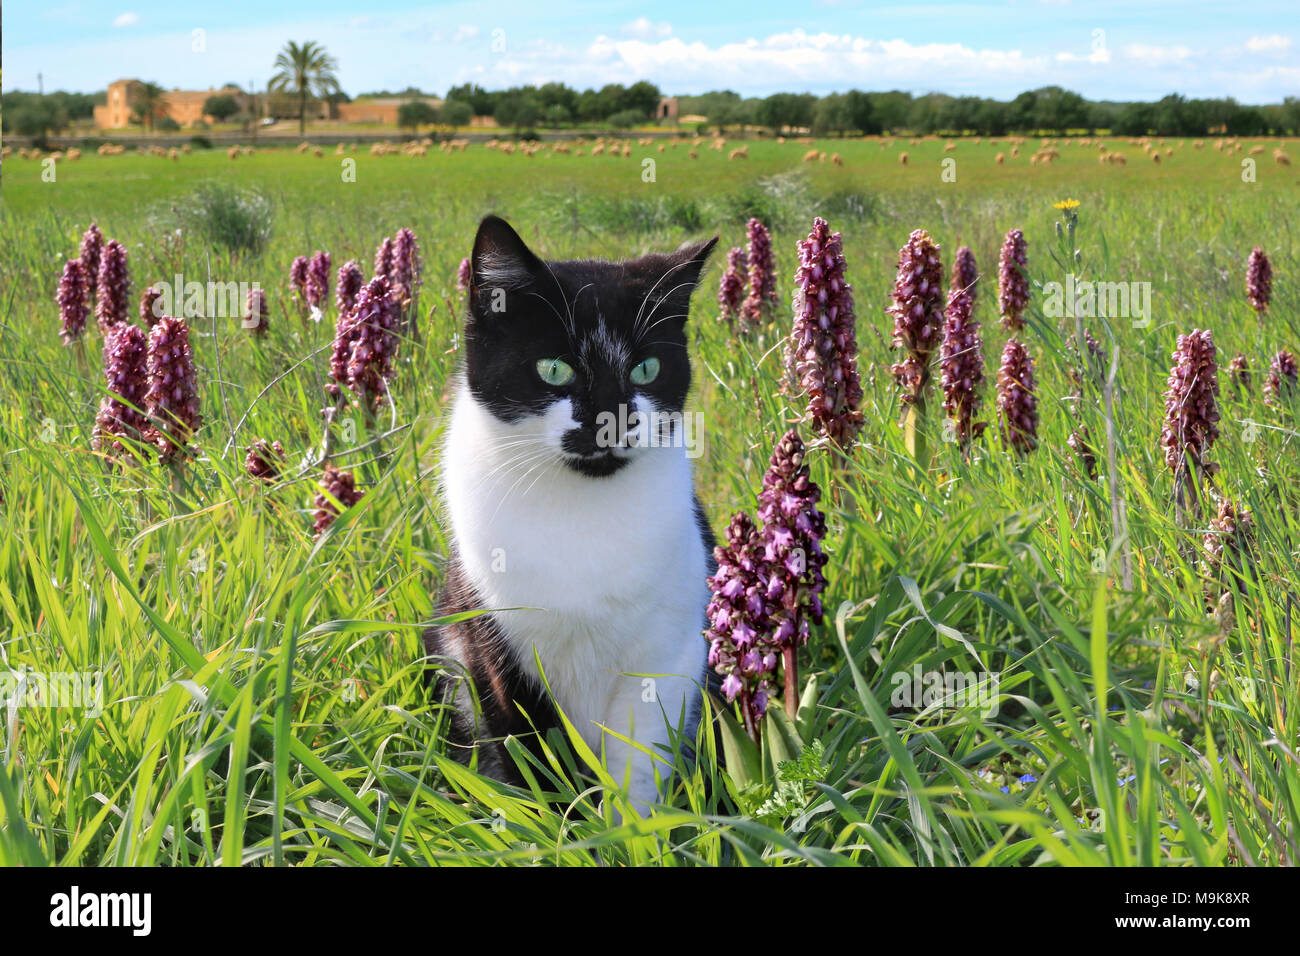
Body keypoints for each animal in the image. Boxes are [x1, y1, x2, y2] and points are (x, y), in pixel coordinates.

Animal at [423, 214, 722, 806]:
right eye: (554, 370)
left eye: (646, 369)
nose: (612, 420)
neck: (581, 510)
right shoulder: (495, 655)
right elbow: (534, 764)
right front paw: (558, 823)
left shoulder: (667, 657)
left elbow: (637, 771)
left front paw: (631, 826)